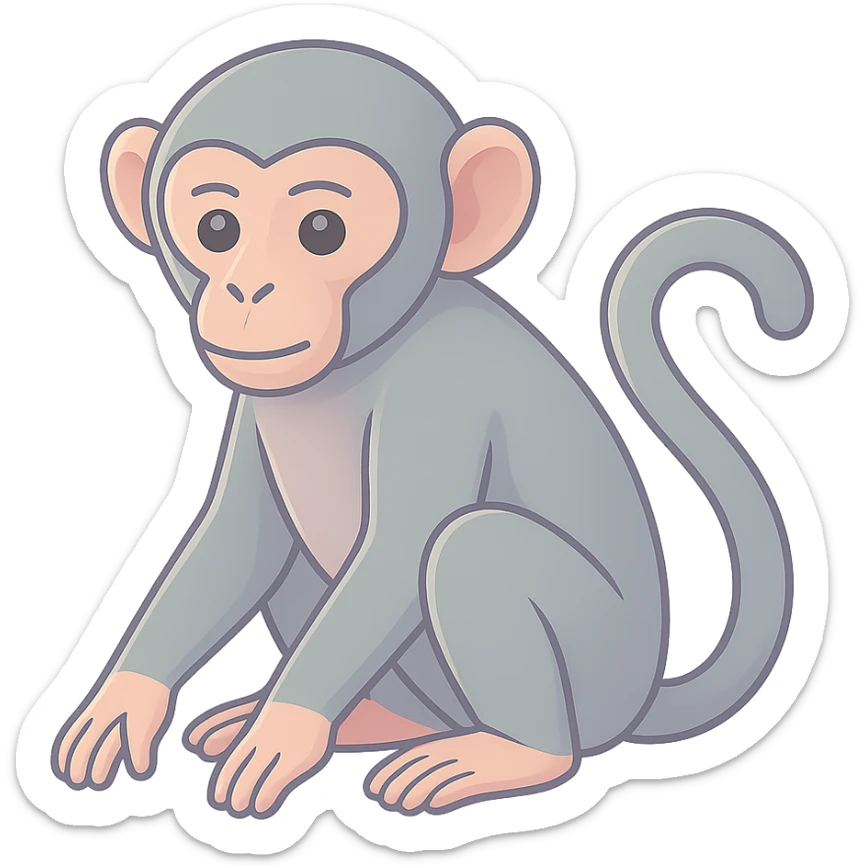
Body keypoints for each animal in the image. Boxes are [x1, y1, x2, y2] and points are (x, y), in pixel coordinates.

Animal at [48, 38, 821, 820]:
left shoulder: (442, 389)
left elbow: (395, 551)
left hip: (597, 660)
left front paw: (281, 731)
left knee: (472, 547)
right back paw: (373, 721)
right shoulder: (254, 397)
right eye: (217, 229)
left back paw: (511, 753)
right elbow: (237, 542)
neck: (362, 356)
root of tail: (641, 695)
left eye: (321, 231)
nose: (246, 289)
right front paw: (124, 702)